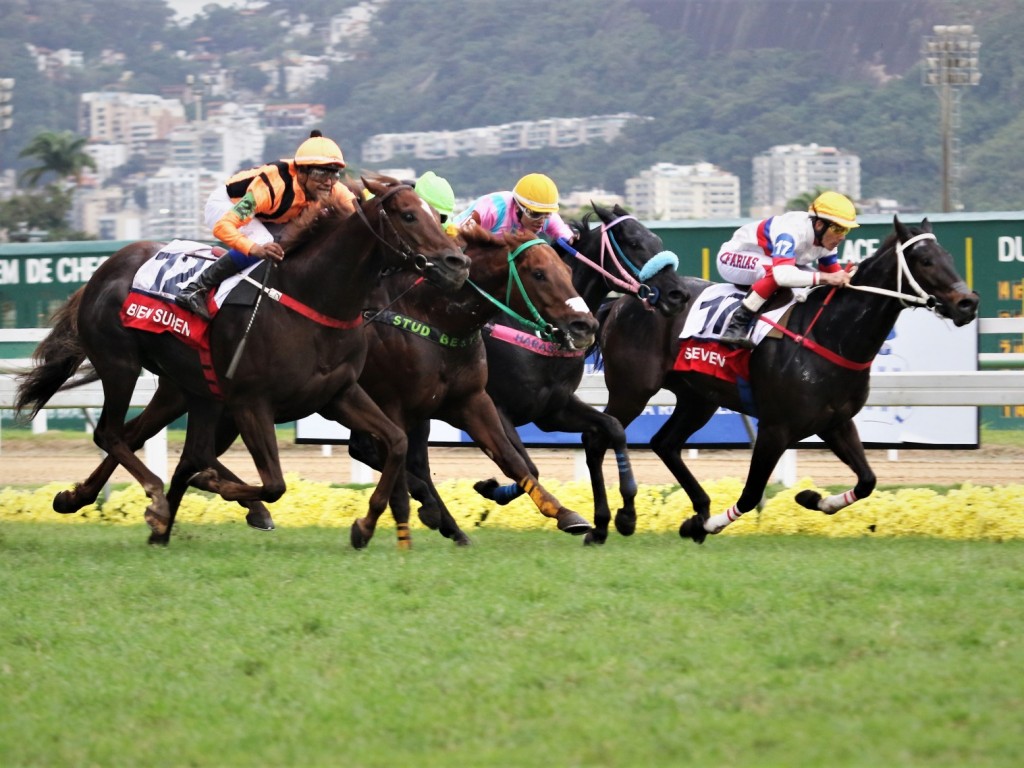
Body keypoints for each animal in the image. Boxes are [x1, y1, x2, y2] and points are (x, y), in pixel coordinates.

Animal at [14, 177, 468, 544]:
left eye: (437, 215)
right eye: (409, 215)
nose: (457, 262)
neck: (312, 299)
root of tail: (104, 270)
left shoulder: (338, 393)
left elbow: (397, 442)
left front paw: (365, 525)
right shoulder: (252, 402)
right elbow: (274, 484)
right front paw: (227, 493)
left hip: (186, 390)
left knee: (145, 438)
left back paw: (80, 499)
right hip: (120, 364)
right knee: (111, 433)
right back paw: (158, 501)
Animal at [348, 222, 598, 548]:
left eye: (567, 271)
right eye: (539, 273)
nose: (585, 326)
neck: (430, 314)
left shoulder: (472, 400)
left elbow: (511, 459)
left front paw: (566, 514)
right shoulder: (393, 403)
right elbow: (395, 456)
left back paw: (449, 525)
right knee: (382, 454)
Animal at [585, 214, 974, 544]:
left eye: (949, 256)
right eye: (926, 261)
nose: (968, 302)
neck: (830, 334)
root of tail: (625, 300)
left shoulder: (836, 422)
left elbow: (867, 481)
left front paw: (812, 498)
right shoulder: (775, 428)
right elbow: (751, 493)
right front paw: (709, 526)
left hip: (699, 398)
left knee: (665, 443)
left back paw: (697, 509)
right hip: (633, 390)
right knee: (598, 437)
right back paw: (611, 523)